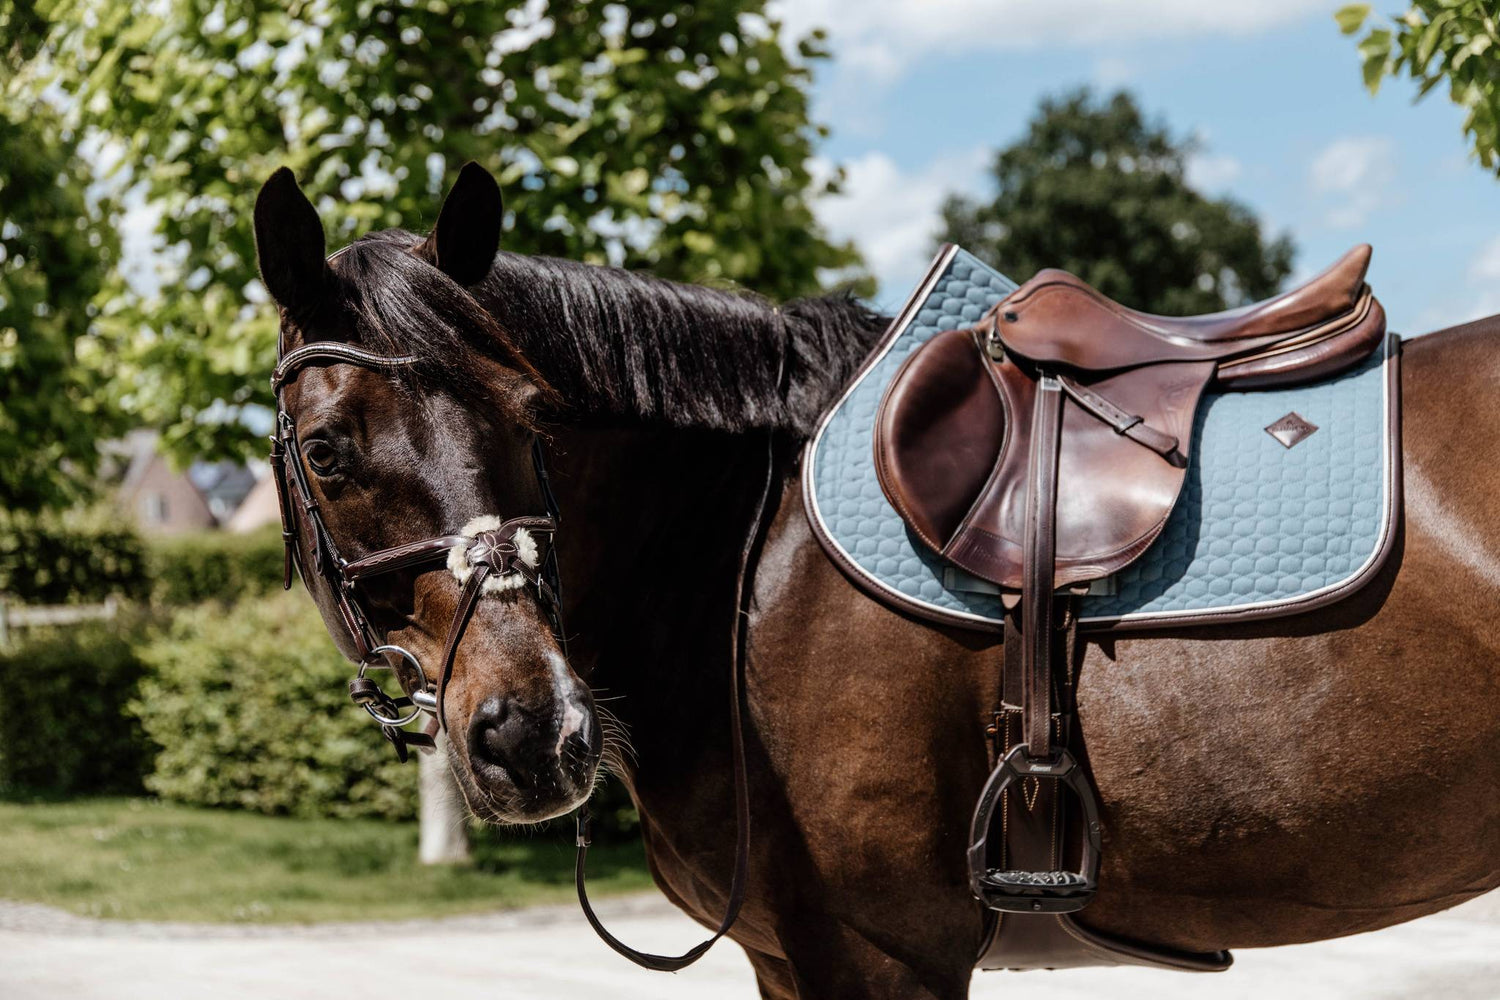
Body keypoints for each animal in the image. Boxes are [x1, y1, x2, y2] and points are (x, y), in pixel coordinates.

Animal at [252, 160, 1494, 995]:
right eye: (325, 449)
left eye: (531, 418)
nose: (533, 732)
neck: (745, 563)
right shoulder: (795, 956)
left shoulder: (879, 952)